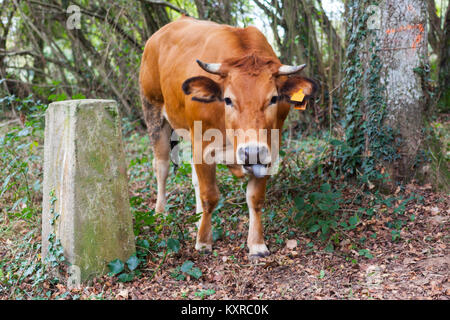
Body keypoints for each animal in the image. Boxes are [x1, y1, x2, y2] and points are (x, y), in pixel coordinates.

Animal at [139, 16, 318, 258]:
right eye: (228, 99)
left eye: (273, 98)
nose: (251, 153)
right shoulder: (202, 146)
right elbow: (210, 196)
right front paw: (204, 241)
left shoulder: (269, 148)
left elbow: (255, 198)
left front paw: (257, 244)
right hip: (153, 110)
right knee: (162, 166)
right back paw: (161, 213)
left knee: (193, 178)